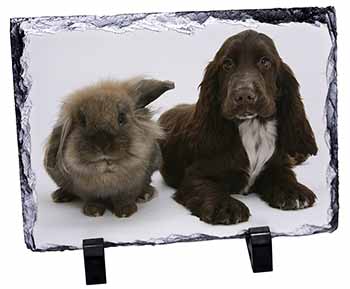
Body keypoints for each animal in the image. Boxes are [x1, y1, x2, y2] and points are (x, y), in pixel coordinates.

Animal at [44, 77, 175, 217]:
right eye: (83, 121)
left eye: (121, 118)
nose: (102, 144)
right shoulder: (88, 191)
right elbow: (92, 199)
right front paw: (93, 212)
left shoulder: (130, 186)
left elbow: (125, 198)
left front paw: (126, 212)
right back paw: (60, 196)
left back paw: (145, 194)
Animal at [159, 29, 318, 224]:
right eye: (227, 64)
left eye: (265, 61)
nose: (244, 96)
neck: (252, 126)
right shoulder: (194, 175)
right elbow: (206, 187)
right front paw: (226, 206)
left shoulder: (277, 164)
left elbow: (284, 174)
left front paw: (293, 191)